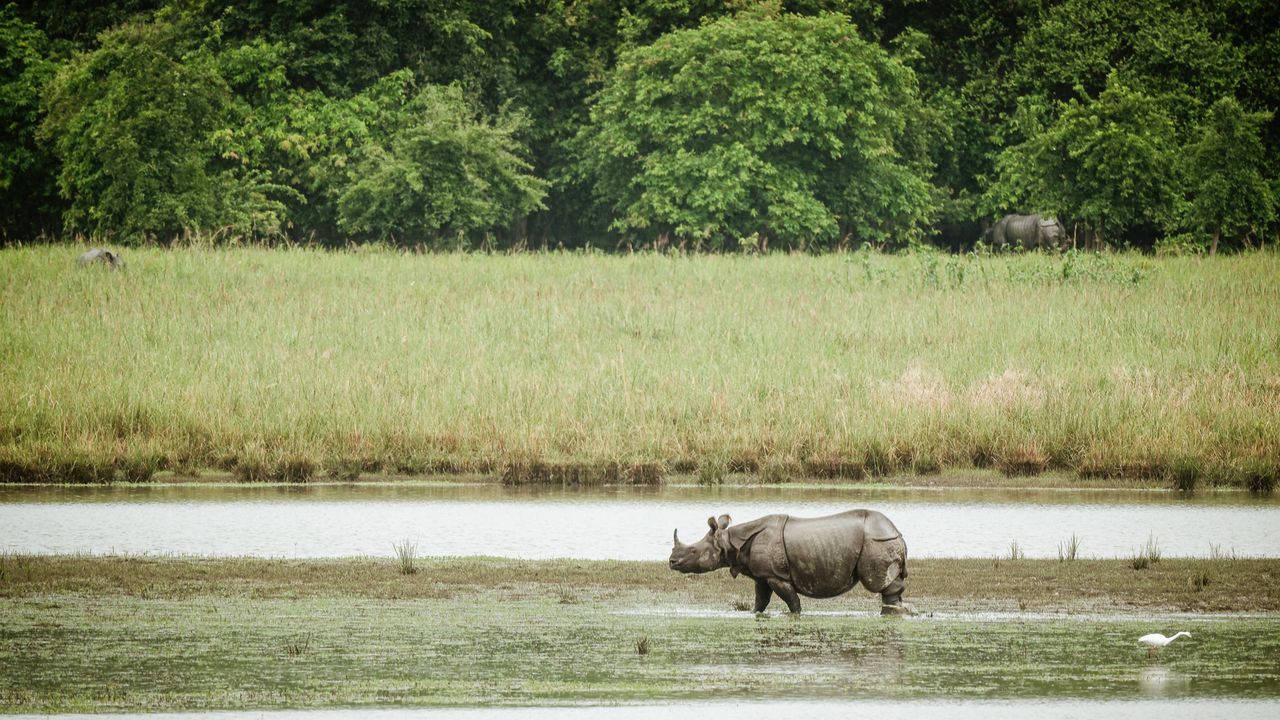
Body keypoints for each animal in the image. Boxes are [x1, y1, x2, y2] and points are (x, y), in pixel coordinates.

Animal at [669, 510, 911, 615]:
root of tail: (897, 532)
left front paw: (795, 615)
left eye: (693, 550)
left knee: (880, 584)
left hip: (877, 542)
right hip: (881, 540)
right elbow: (760, 602)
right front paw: (753, 614)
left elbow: (792, 602)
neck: (730, 542)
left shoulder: (776, 576)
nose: (671, 562)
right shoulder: (762, 575)